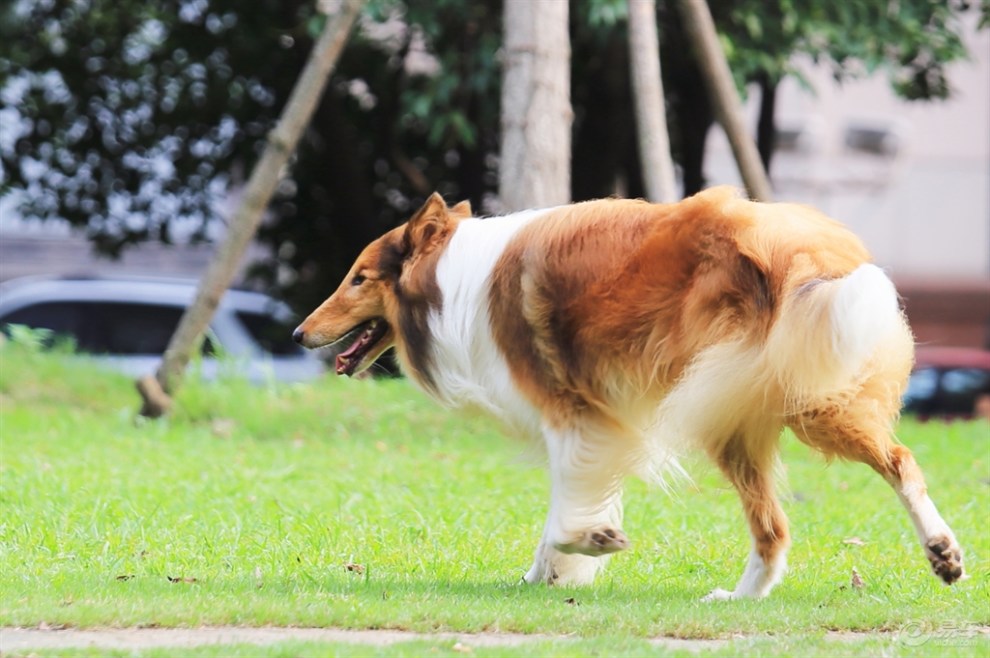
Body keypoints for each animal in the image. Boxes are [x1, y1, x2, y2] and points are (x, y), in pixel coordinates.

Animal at [292, 187, 960, 596]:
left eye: (358, 278)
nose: (299, 333)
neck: (448, 284)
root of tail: (804, 250)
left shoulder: (576, 416)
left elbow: (567, 507)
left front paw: (588, 544)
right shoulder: (590, 423)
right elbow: (567, 505)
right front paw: (549, 572)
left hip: (773, 400)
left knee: (899, 461)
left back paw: (941, 549)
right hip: (744, 413)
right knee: (776, 528)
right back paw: (743, 596)